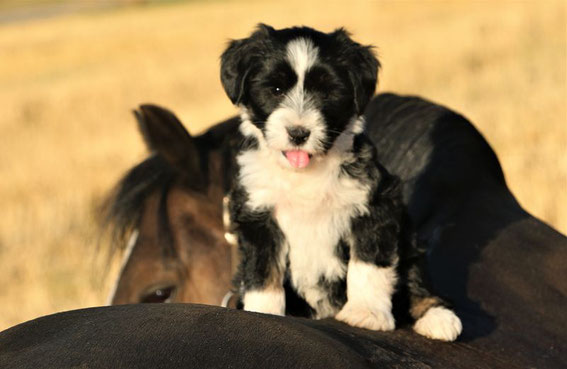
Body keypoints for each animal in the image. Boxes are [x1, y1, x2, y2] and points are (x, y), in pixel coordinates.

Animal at [221, 24, 462, 340]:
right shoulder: (257, 213)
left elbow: (368, 264)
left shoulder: (374, 204)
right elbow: (262, 272)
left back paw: (438, 317)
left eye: (327, 93)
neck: (305, 172)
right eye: (275, 90)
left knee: (416, 278)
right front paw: (263, 314)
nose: (298, 133)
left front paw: (367, 313)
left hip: (409, 245)